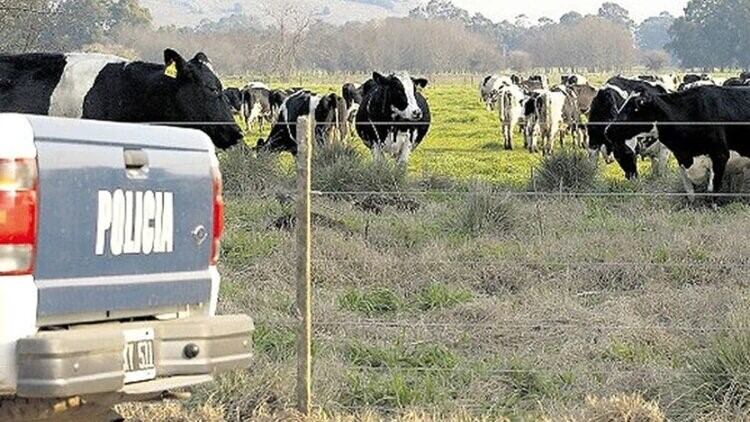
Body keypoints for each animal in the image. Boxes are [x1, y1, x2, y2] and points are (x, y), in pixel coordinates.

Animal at [604, 86, 750, 195]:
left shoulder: (720, 155)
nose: (608, 130)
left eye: (634, 108)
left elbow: (712, 190)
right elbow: (690, 191)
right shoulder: (682, 158)